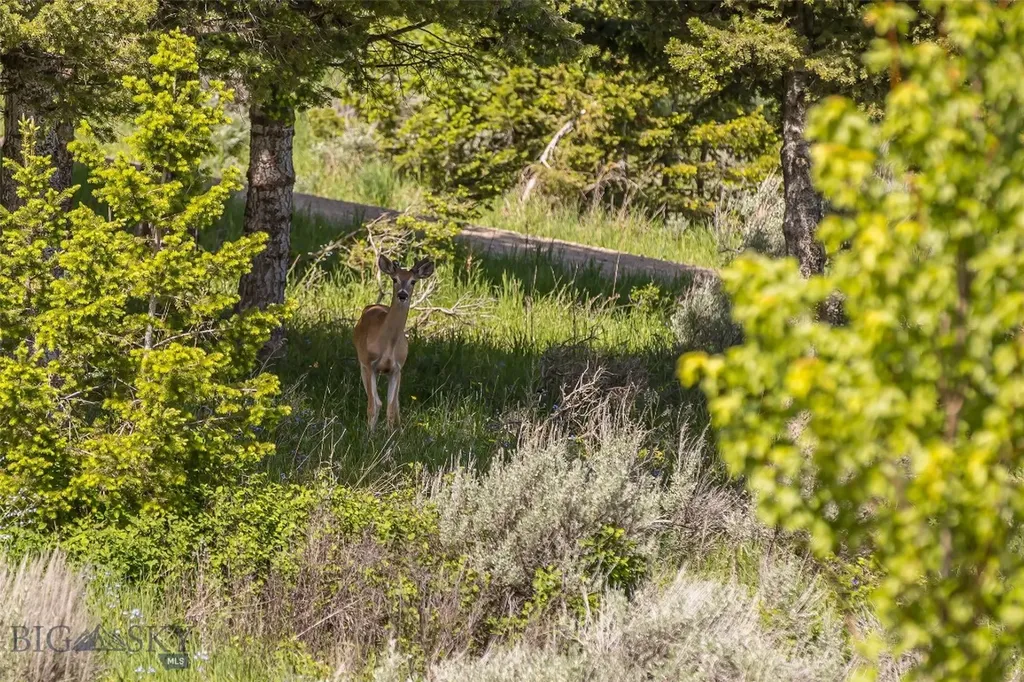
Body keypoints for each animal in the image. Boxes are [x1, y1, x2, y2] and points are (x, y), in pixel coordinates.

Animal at [353, 254, 435, 431]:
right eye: (394, 279)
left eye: (413, 281)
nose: (402, 295)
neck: (388, 345)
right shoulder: (369, 364)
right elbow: (374, 405)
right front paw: (370, 434)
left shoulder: (397, 368)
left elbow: (391, 407)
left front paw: (390, 434)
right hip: (362, 365)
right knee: (374, 400)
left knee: (396, 404)